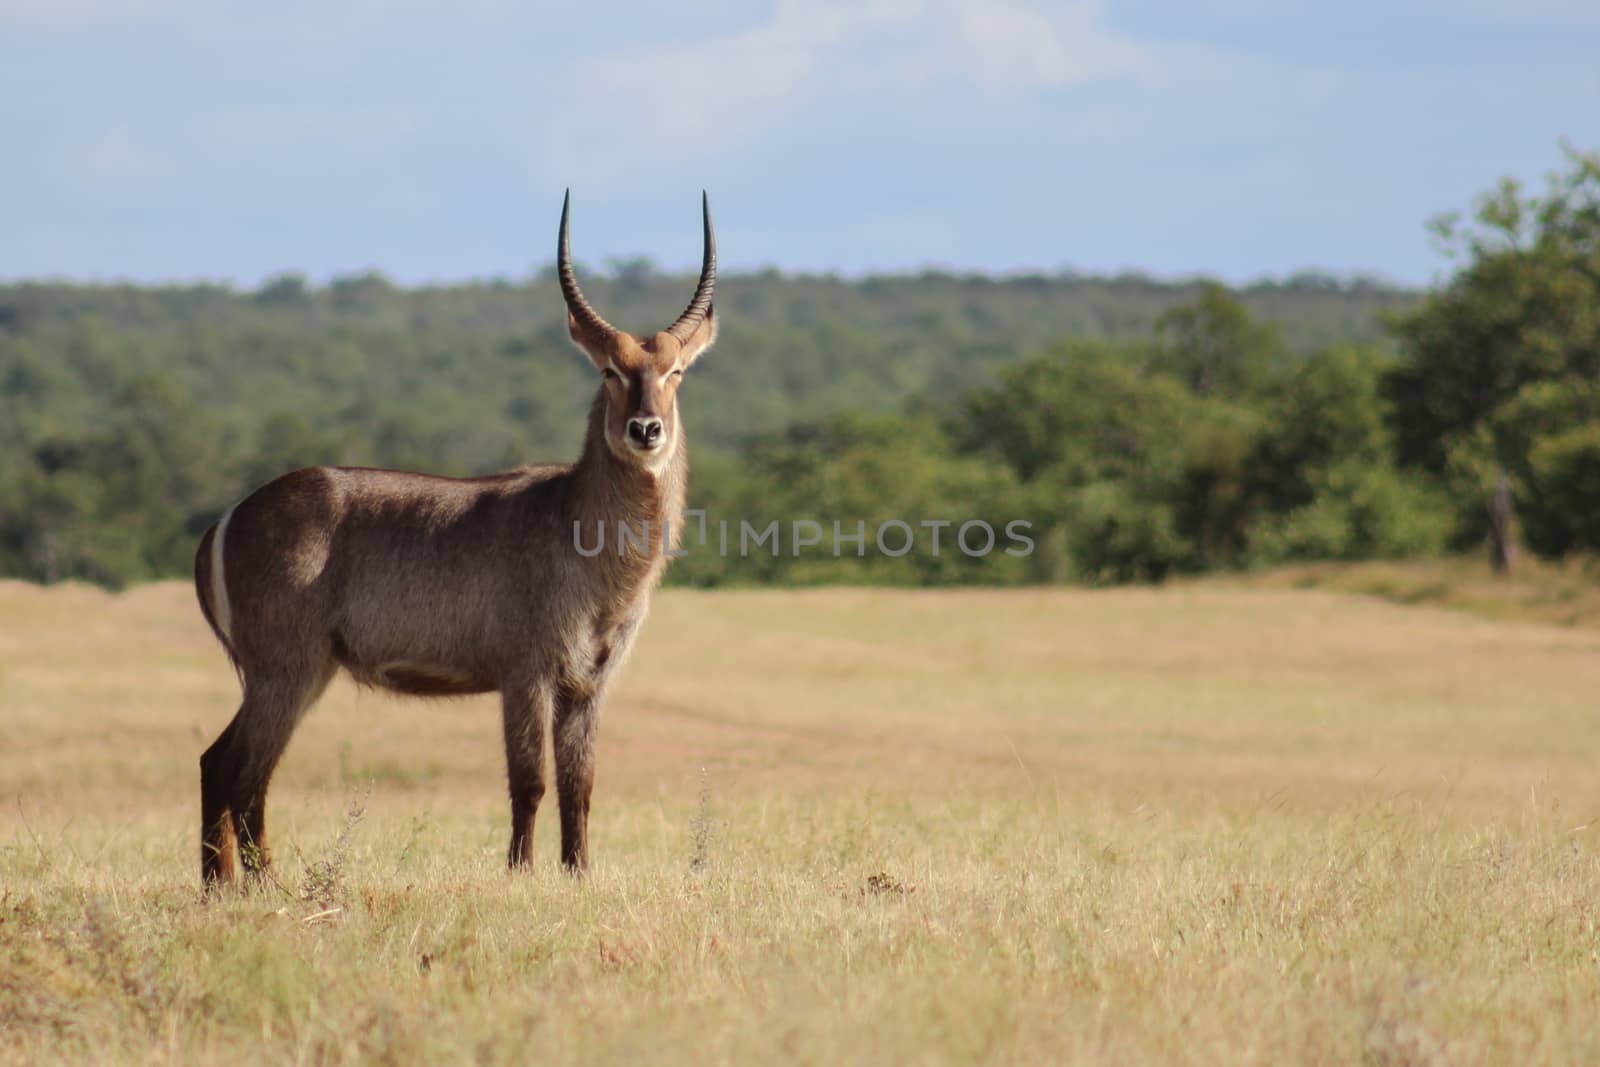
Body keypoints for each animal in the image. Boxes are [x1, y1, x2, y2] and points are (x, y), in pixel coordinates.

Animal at [190, 189, 716, 883]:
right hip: (287, 666)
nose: (646, 429)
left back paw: (218, 888)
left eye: (676, 371)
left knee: (216, 762)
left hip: (281, 671)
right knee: (245, 772)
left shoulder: (588, 683)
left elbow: (581, 786)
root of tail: (224, 521)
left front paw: (578, 875)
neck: (585, 535)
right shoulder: (526, 672)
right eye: (608, 371)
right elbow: (530, 782)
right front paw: (519, 875)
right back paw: (263, 885)